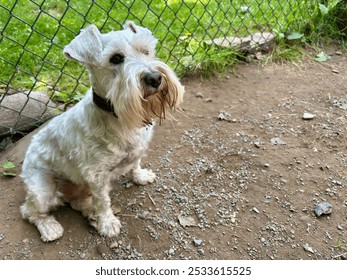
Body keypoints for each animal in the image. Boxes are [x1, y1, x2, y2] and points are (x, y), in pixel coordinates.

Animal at [19, 20, 185, 242]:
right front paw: (107, 223)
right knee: (29, 211)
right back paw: (50, 227)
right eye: (116, 58)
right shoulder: (96, 176)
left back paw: (89, 212)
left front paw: (140, 176)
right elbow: (103, 201)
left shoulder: (135, 151)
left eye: (146, 51)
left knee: (76, 202)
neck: (117, 117)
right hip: (43, 189)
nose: (155, 78)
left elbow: (135, 164)